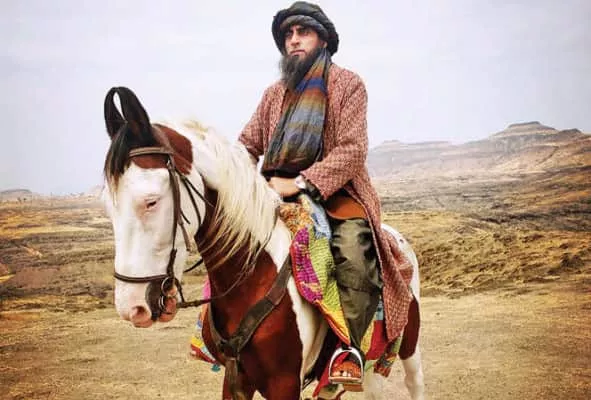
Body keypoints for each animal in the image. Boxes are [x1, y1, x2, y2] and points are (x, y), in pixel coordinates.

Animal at [101, 86, 425, 400]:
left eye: (151, 201)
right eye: (108, 206)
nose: (132, 307)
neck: (252, 277)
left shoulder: (284, 384)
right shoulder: (236, 378)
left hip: (409, 347)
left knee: (414, 383)